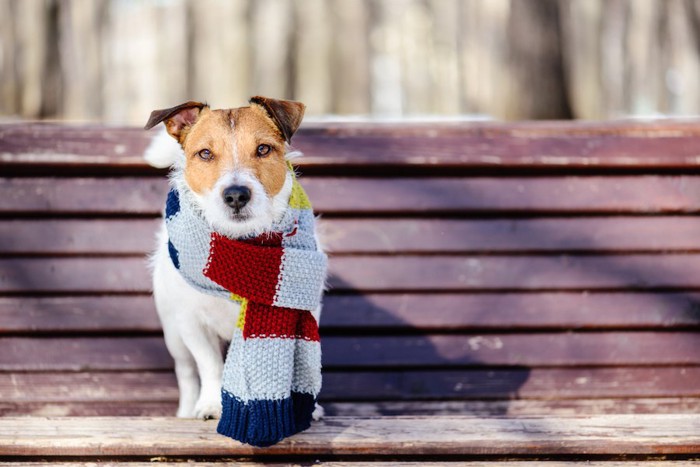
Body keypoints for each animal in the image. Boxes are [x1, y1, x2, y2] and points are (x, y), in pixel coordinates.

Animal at [143, 97, 328, 422]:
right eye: (205, 153)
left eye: (263, 149)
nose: (236, 195)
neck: (240, 245)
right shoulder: (191, 322)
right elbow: (210, 366)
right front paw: (211, 404)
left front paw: (310, 407)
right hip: (173, 335)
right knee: (186, 373)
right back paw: (187, 409)